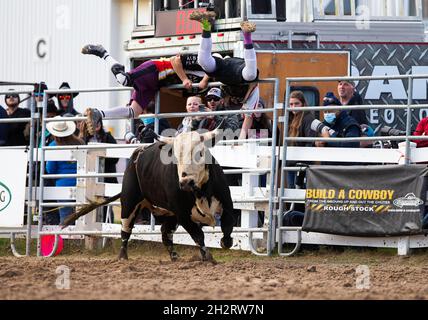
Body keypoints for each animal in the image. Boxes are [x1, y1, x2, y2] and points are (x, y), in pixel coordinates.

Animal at [62, 140, 237, 260]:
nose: (184, 182)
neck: (201, 191)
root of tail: (137, 155)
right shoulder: (183, 215)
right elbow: (198, 235)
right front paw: (208, 257)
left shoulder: (227, 205)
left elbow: (228, 227)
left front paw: (224, 243)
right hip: (130, 202)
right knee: (126, 230)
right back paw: (123, 257)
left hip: (169, 214)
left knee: (165, 234)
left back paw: (174, 256)